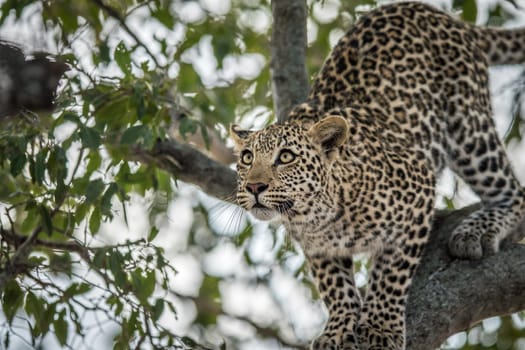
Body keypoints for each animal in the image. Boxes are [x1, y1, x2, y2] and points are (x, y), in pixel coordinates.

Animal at [228, 1, 524, 348]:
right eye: (247, 158)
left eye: (286, 157)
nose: (255, 186)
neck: (318, 213)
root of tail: (438, 14)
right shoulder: (317, 246)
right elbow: (334, 285)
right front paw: (340, 327)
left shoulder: (418, 191)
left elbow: (392, 274)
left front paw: (381, 327)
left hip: (469, 125)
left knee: (513, 192)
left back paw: (474, 231)